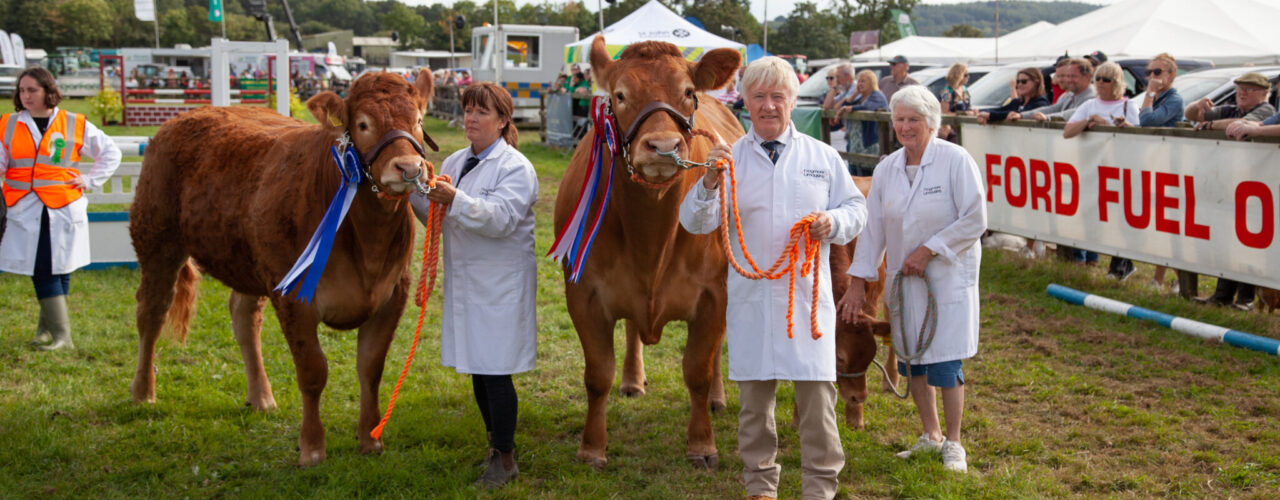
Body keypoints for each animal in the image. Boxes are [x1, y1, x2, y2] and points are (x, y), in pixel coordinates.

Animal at [129, 69, 437, 465]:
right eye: (363, 124)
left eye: (418, 120)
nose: (409, 168)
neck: (367, 242)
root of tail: (185, 117)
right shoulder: (294, 297)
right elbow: (313, 371)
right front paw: (312, 447)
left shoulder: (392, 293)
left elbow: (370, 368)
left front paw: (370, 439)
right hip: (157, 240)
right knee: (151, 314)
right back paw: (143, 392)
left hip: (248, 261)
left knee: (243, 318)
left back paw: (261, 396)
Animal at [555, 37, 747, 473]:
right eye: (619, 95)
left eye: (688, 93)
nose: (662, 147)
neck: (651, 242)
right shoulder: (583, 294)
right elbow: (597, 375)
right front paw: (591, 448)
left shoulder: (715, 295)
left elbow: (697, 369)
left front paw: (702, 444)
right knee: (631, 331)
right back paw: (632, 379)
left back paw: (717, 397)